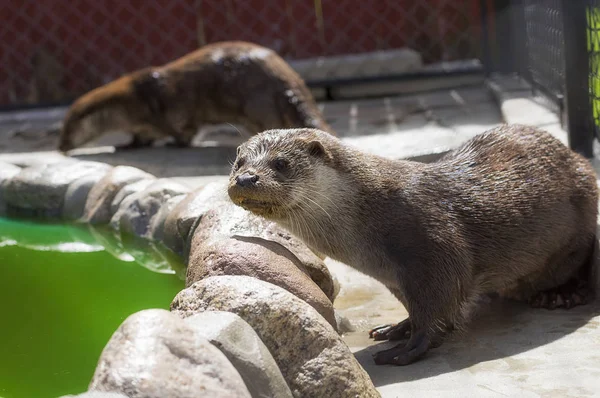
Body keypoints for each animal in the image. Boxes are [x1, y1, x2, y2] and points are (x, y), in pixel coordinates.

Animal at [58, 40, 336, 152]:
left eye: (67, 129)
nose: (60, 146)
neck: (130, 103)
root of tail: (287, 76)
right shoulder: (145, 124)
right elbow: (141, 137)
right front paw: (126, 145)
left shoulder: (167, 113)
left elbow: (183, 132)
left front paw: (175, 144)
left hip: (256, 103)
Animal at [227, 125, 596, 366]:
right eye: (238, 162)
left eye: (281, 163)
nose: (245, 179)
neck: (373, 213)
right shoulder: (395, 277)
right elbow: (416, 305)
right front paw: (399, 328)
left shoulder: (434, 246)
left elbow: (440, 305)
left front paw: (409, 348)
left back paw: (559, 295)